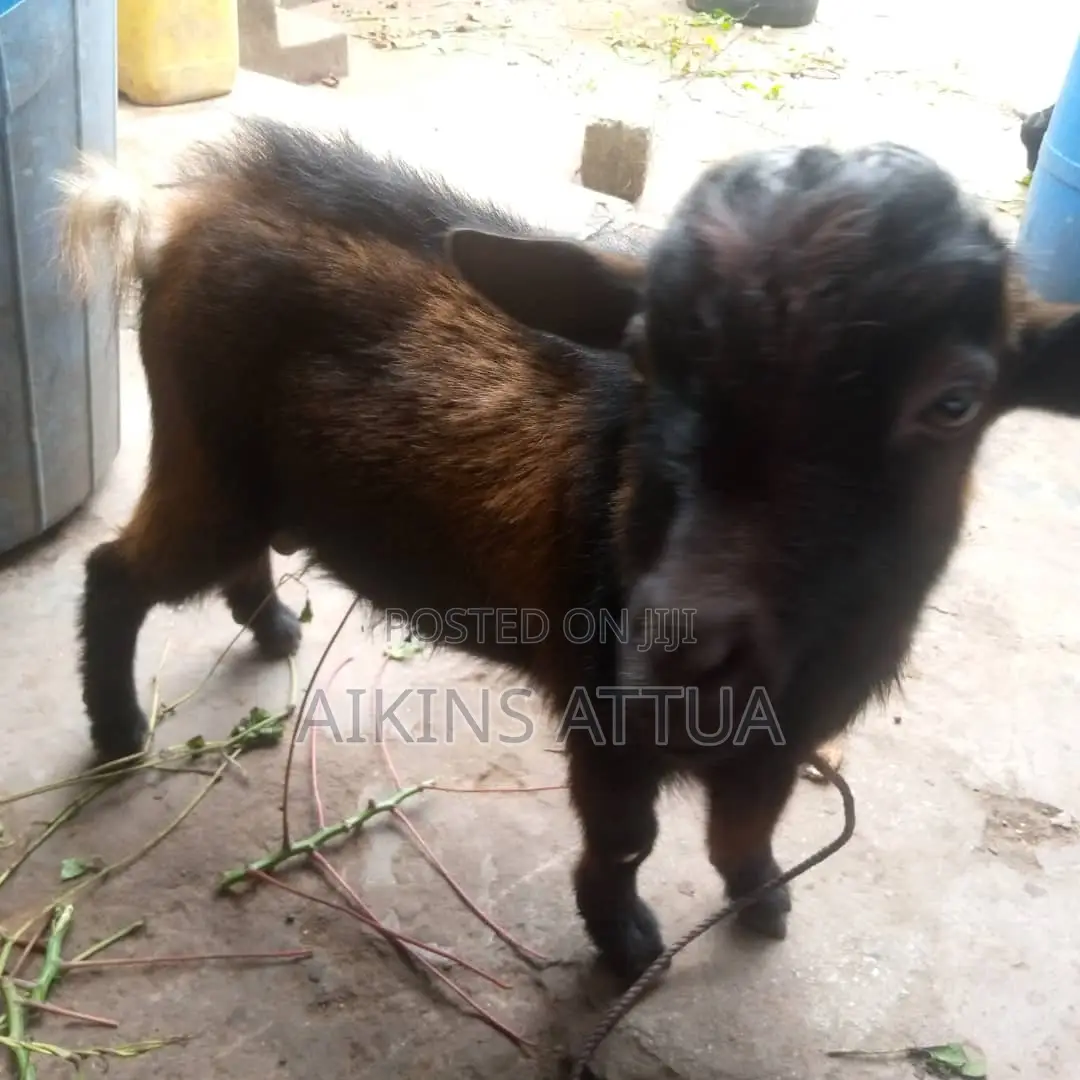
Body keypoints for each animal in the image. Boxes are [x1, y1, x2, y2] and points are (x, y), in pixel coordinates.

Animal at [56, 118, 1080, 984]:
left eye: (955, 402)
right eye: (646, 357)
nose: (673, 646)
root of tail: (179, 216)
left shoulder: (785, 736)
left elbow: (746, 828)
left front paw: (763, 902)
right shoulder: (605, 716)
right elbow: (624, 840)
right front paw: (626, 946)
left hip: (235, 477)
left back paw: (270, 627)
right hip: (202, 462)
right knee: (115, 574)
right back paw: (119, 733)